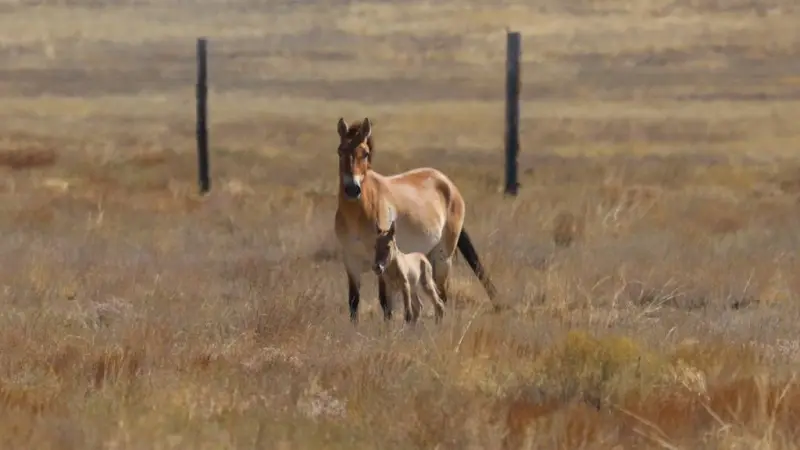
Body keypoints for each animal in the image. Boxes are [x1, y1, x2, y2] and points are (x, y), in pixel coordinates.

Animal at [333, 116, 497, 323]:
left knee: (441, 296)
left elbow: (385, 304)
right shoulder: (351, 262)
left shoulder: (381, 263)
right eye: (340, 150)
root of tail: (448, 183)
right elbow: (353, 303)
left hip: (443, 258)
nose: (352, 189)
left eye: (365, 153)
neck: (358, 213)